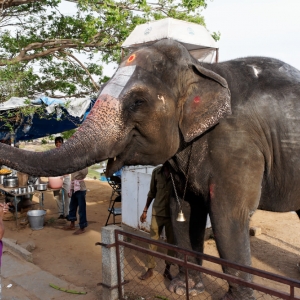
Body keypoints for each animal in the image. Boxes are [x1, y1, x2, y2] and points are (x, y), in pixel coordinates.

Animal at [0, 38, 300, 298]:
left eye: (138, 103)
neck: (202, 69)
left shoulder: (238, 144)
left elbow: (229, 216)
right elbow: (184, 211)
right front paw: (183, 288)